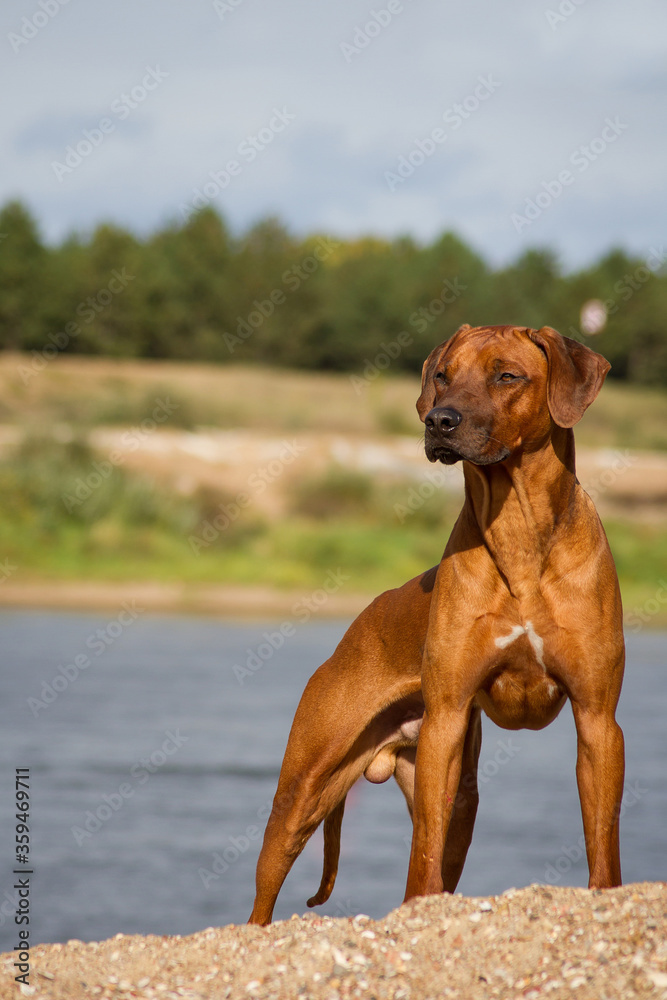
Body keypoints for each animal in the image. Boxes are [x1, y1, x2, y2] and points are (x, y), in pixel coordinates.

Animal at [248, 324, 624, 924]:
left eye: (507, 375)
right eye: (443, 375)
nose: (438, 421)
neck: (519, 535)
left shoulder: (598, 719)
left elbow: (602, 840)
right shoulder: (446, 718)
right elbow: (421, 853)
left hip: (461, 795)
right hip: (305, 789)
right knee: (265, 892)